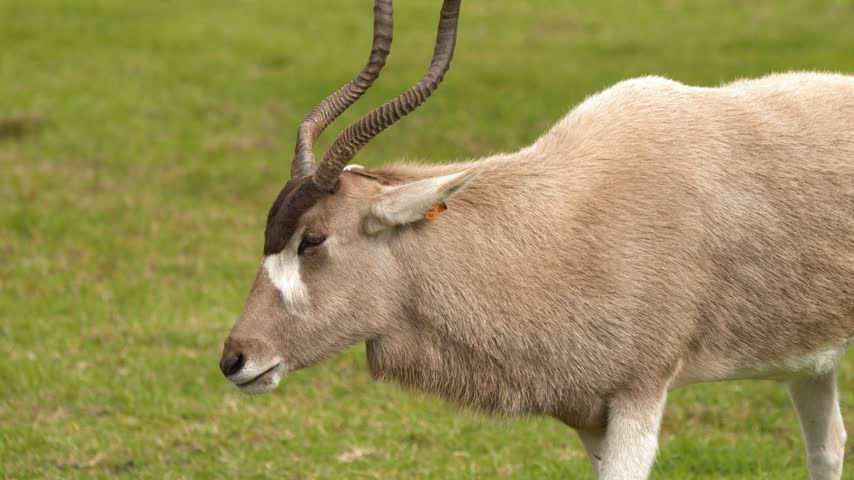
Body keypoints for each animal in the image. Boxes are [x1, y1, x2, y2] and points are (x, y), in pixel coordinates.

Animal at [219, 1, 854, 478]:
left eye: (313, 241)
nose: (235, 359)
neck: (558, 222)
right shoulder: (589, 411)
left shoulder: (640, 393)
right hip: (809, 362)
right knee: (827, 446)